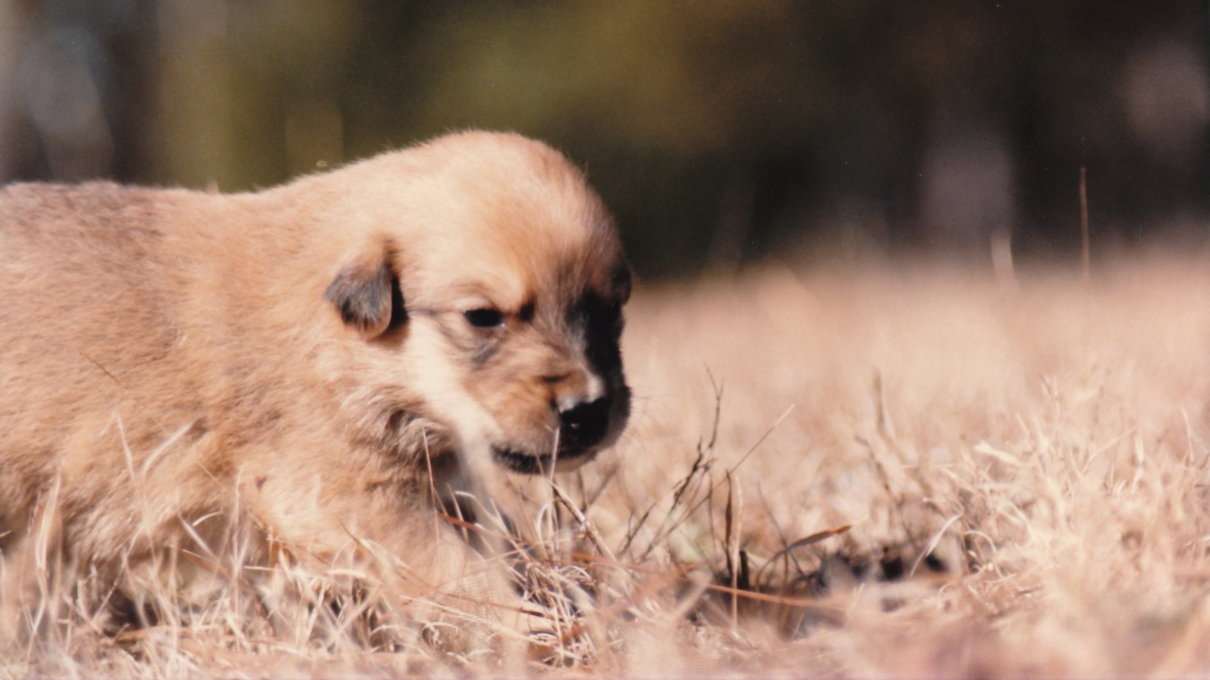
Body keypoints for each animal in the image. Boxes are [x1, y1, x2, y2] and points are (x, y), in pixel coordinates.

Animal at [0, 128, 638, 634]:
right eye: (482, 317)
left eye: (612, 310)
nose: (589, 411)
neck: (339, 341)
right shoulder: (343, 497)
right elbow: (459, 572)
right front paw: (535, 631)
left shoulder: (437, 485)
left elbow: (504, 546)